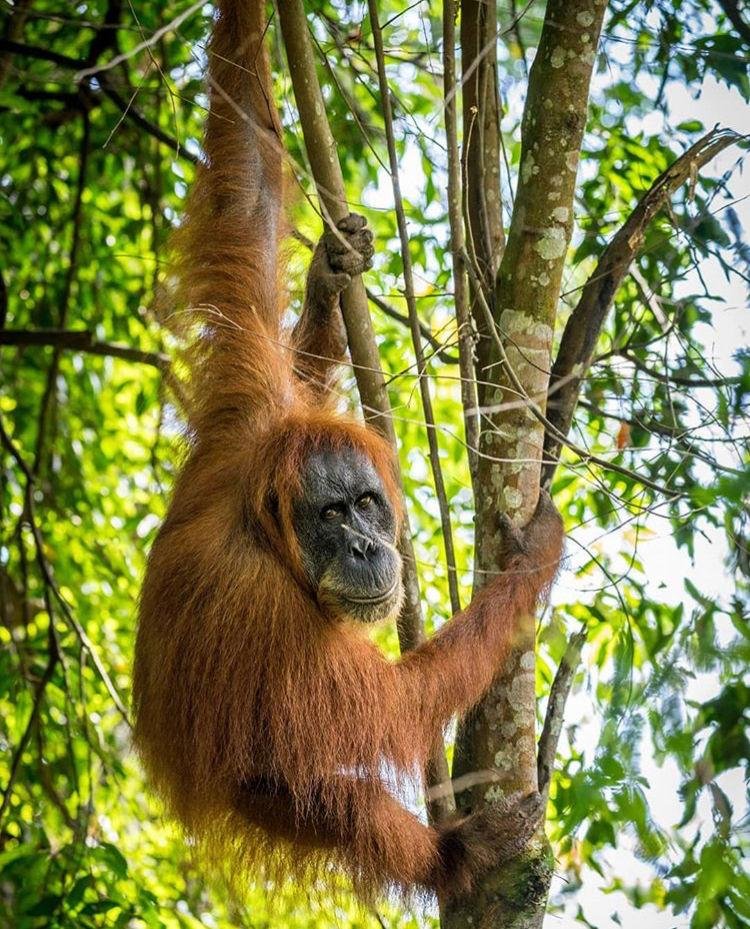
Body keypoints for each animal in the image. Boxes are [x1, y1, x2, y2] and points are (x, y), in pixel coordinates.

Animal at [132, 0, 564, 903]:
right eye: (332, 515)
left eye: (367, 503)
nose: (368, 545)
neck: (266, 527)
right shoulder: (271, 618)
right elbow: (394, 707)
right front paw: (532, 562)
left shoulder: (249, 423)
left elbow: (249, 182)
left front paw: (328, 283)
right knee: (311, 788)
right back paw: (456, 855)